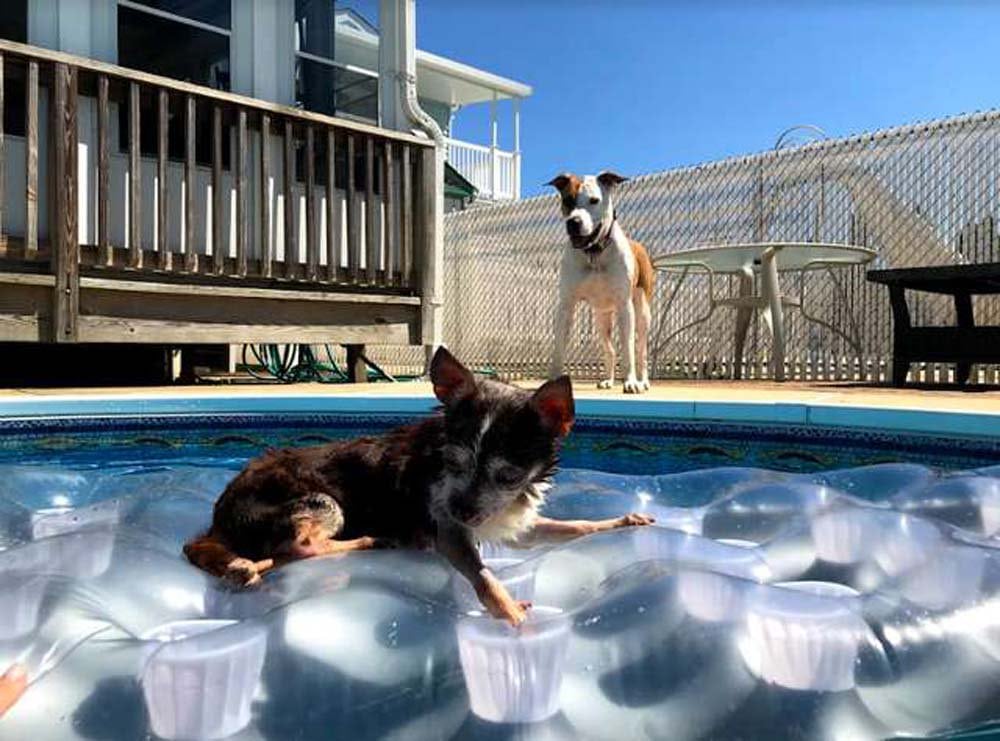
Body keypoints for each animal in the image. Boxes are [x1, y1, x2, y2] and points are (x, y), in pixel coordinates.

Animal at [186, 348, 656, 624]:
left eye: (507, 476)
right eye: (454, 462)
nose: (462, 509)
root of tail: (219, 518)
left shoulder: (512, 526)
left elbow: (573, 527)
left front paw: (624, 522)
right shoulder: (449, 532)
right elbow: (482, 573)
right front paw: (509, 613)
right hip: (323, 503)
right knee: (299, 547)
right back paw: (370, 541)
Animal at [548, 172, 656, 394]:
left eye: (594, 200)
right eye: (568, 200)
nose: (574, 222)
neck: (594, 252)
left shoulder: (625, 307)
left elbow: (628, 349)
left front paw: (631, 382)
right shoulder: (566, 305)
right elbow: (559, 346)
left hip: (642, 313)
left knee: (640, 350)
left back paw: (643, 381)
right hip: (601, 320)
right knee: (610, 350)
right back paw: (608, 380)